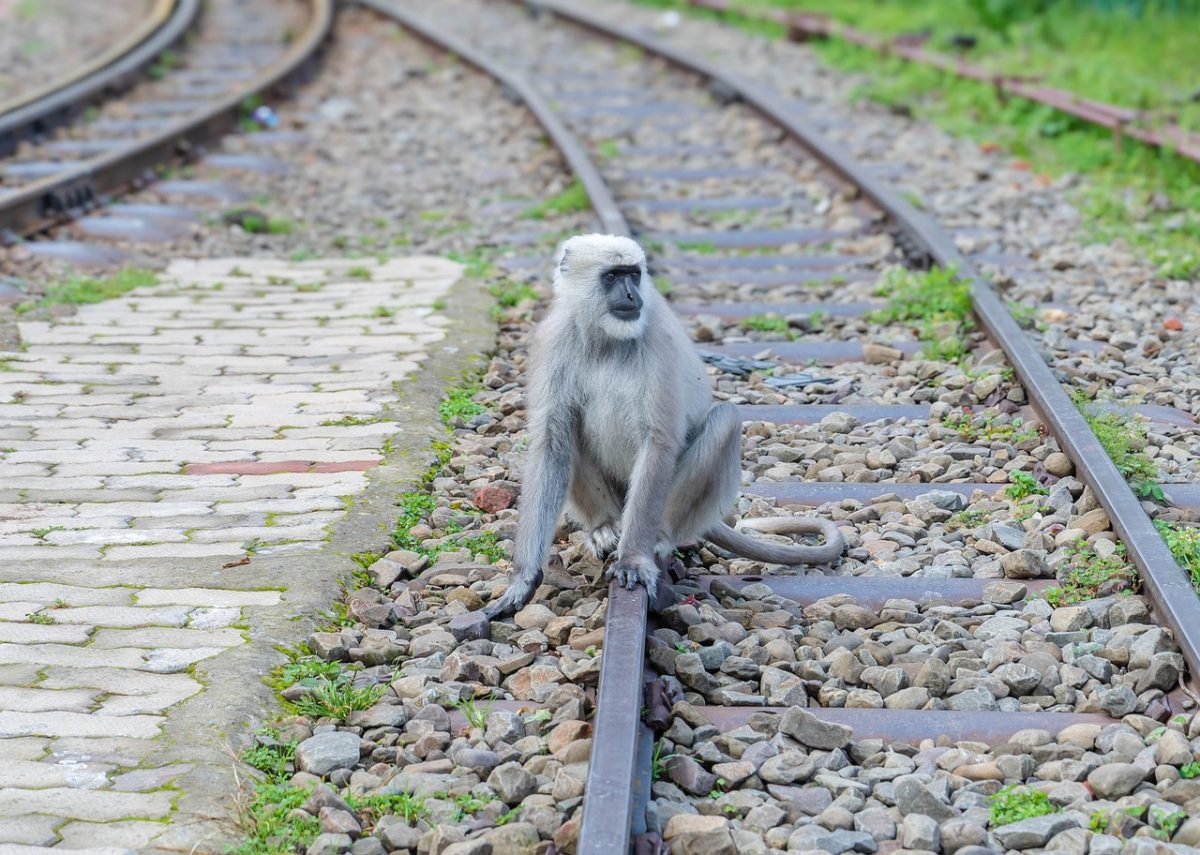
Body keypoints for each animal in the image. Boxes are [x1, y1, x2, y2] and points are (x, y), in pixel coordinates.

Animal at [481, 233, 844, 619]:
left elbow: (659, 442)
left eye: (634, 274)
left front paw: (633, 561)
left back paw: (658, 538)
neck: (606, 339)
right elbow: (551, 443)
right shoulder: (554, 340)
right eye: (613, 276)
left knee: (724, 419)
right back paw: (604, 528)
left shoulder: (656, 337)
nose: (631, 295)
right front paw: (523, 580)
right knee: (568, 436)